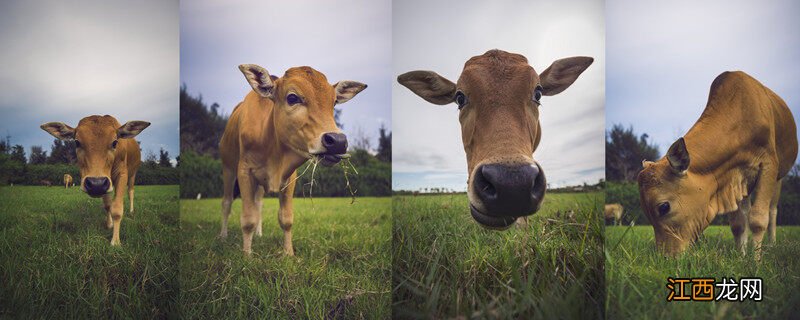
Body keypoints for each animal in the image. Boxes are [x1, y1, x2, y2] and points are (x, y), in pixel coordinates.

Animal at [41, 116, 150, 246]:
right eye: (77, 142)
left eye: (115, 142)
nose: (95, 184)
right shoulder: (106, 183)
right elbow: (108, 205)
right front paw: (109, 224)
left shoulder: (122, 174)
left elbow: (117, 209)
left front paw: (115, 241)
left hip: (132, 174)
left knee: (131, 192)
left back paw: (132, 210)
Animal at [636, 72, 800, 258]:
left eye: (663, 207)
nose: (666, 257)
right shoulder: (733, 178)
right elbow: (738, 224)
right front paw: (741, 257)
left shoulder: (768, 164)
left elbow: (758, 219)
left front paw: (756, 261)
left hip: (779, 177)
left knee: (772, 211)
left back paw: (771, 245)